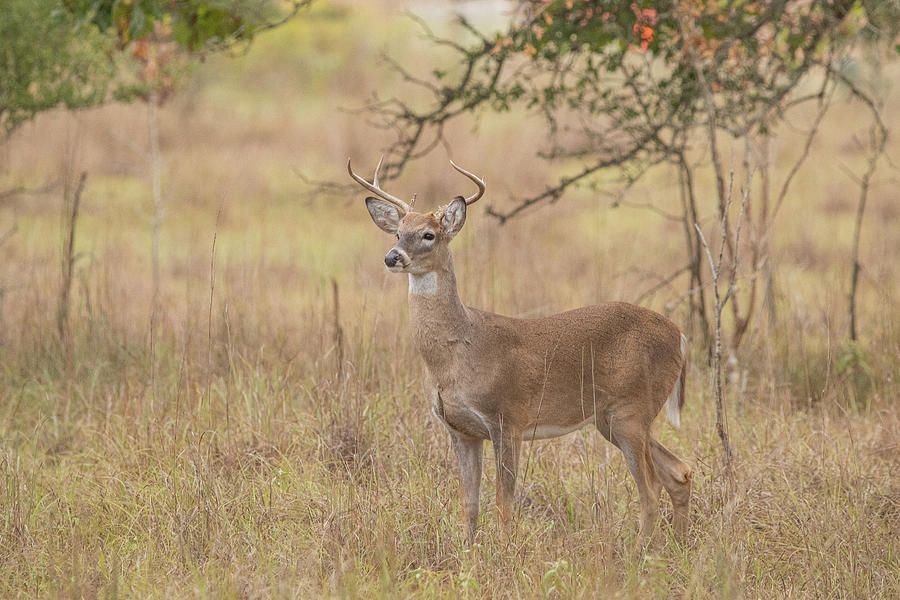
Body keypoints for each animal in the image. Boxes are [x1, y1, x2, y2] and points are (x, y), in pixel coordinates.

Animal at [348, 156, 692, 548]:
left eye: (428, 234)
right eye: (397, 232)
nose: (392, 257)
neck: (457, 354)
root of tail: (680, 335)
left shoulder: (507, 417)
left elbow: (504, 501)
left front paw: (504, 553)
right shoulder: (460, 430)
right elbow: (469, 502)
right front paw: (469, 553)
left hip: (632, 409)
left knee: (650, 488)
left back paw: (639, 553)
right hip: (612, 418)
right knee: (679, 472)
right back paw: (679, 547)